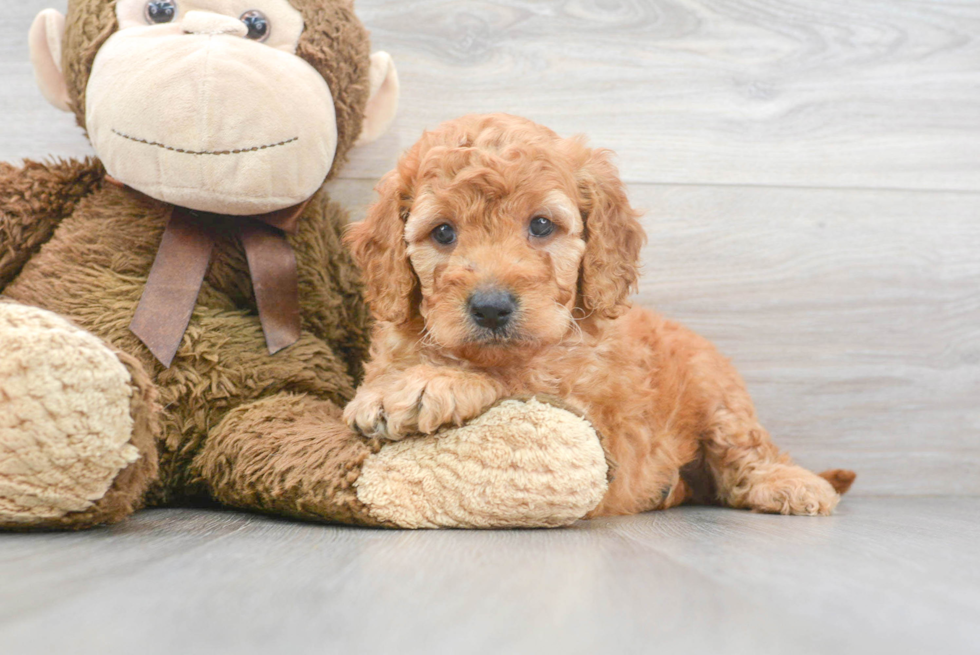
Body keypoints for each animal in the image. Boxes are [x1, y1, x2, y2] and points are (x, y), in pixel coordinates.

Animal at [348, 114, 852, 516]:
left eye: (541, 225)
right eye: (443, 232)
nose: (491, 308)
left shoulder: (591, 414)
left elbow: (516, 383)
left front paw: (429, 383)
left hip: (718, 394)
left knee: (746, 451)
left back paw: (790, 483)